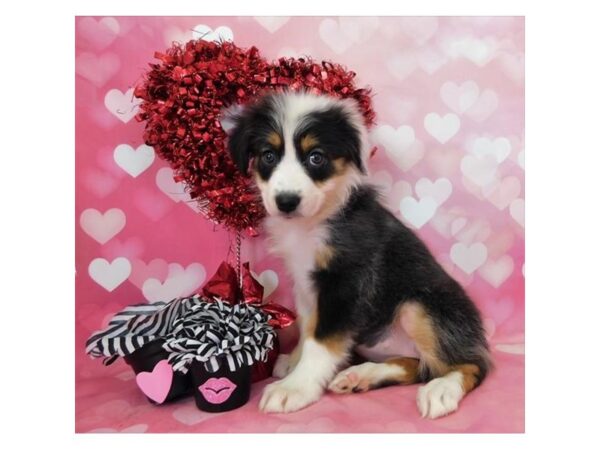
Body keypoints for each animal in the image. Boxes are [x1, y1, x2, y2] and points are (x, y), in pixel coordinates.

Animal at [227, 90, 490, 418]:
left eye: (316, 157)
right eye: (268, 156)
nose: (286, 201)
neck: (316, 219)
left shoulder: (347, 280)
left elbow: (322, 339)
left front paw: (296, 387)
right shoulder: (306, 283)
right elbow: (307, 326)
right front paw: (295, 360)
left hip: (421, 306)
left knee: (470, 365)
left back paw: (441, 390)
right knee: (417, 366)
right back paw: (359, 376)